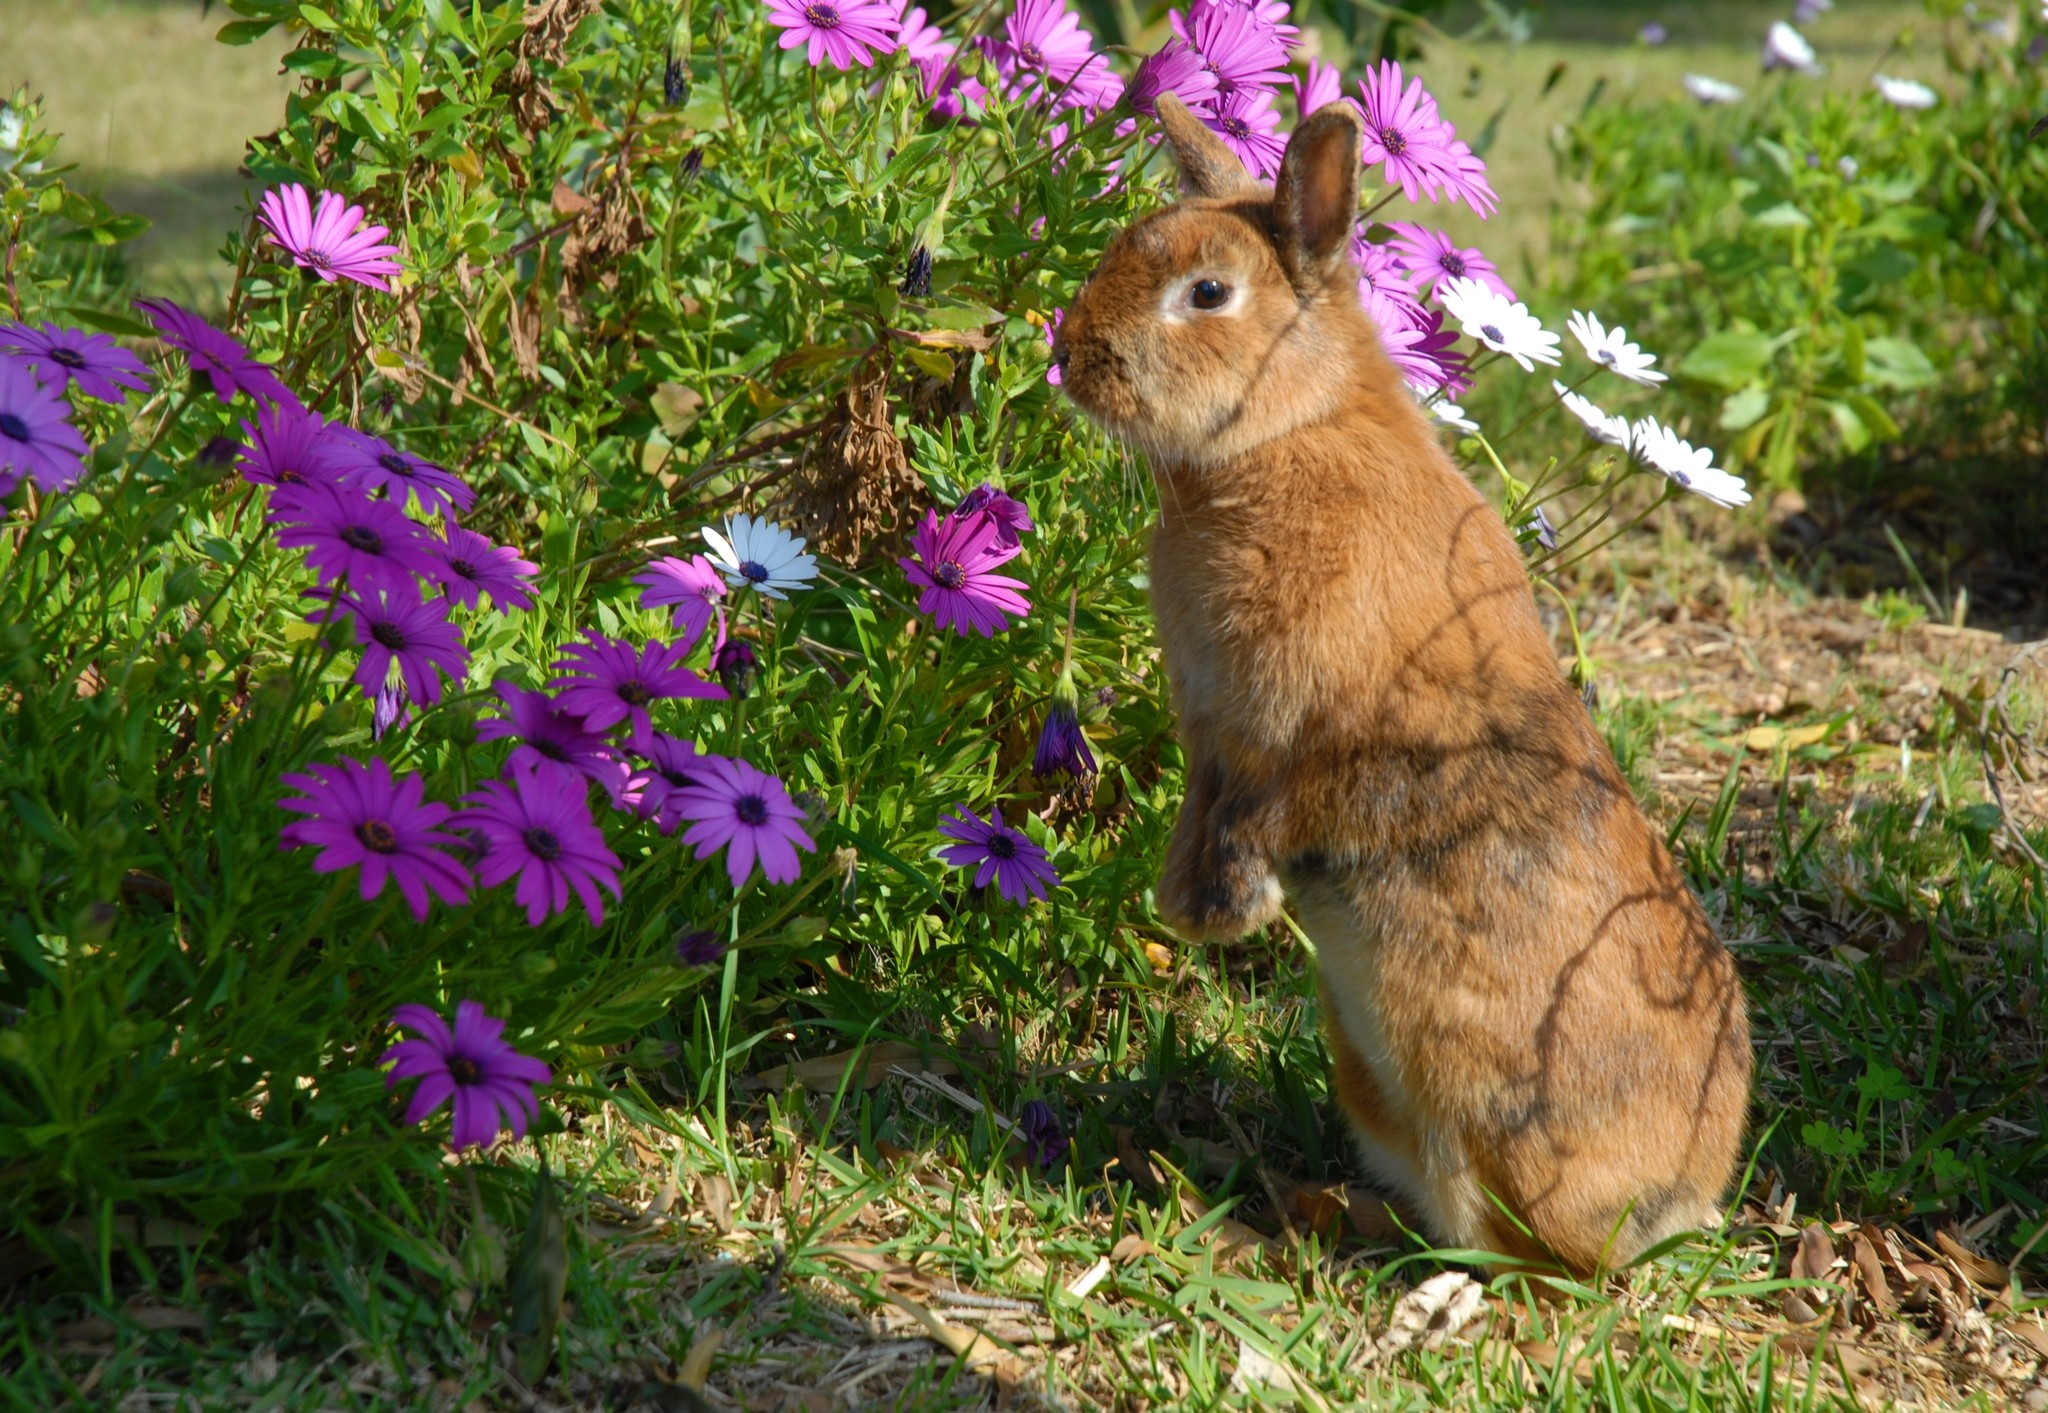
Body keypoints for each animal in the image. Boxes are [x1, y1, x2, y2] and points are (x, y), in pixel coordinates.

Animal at [1056, 93, 1744, 1269]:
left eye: (1207, 293)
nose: (1068, 356)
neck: (1292, 425)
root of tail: (1686, 1190)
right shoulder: (1212, 739)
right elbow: (1205, 811)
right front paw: (1190, 908)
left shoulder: (1291, 729)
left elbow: (1273, 807)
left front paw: (1220, 914)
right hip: (1371, 1076)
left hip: (1469, 1094)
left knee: (1522, 1258)